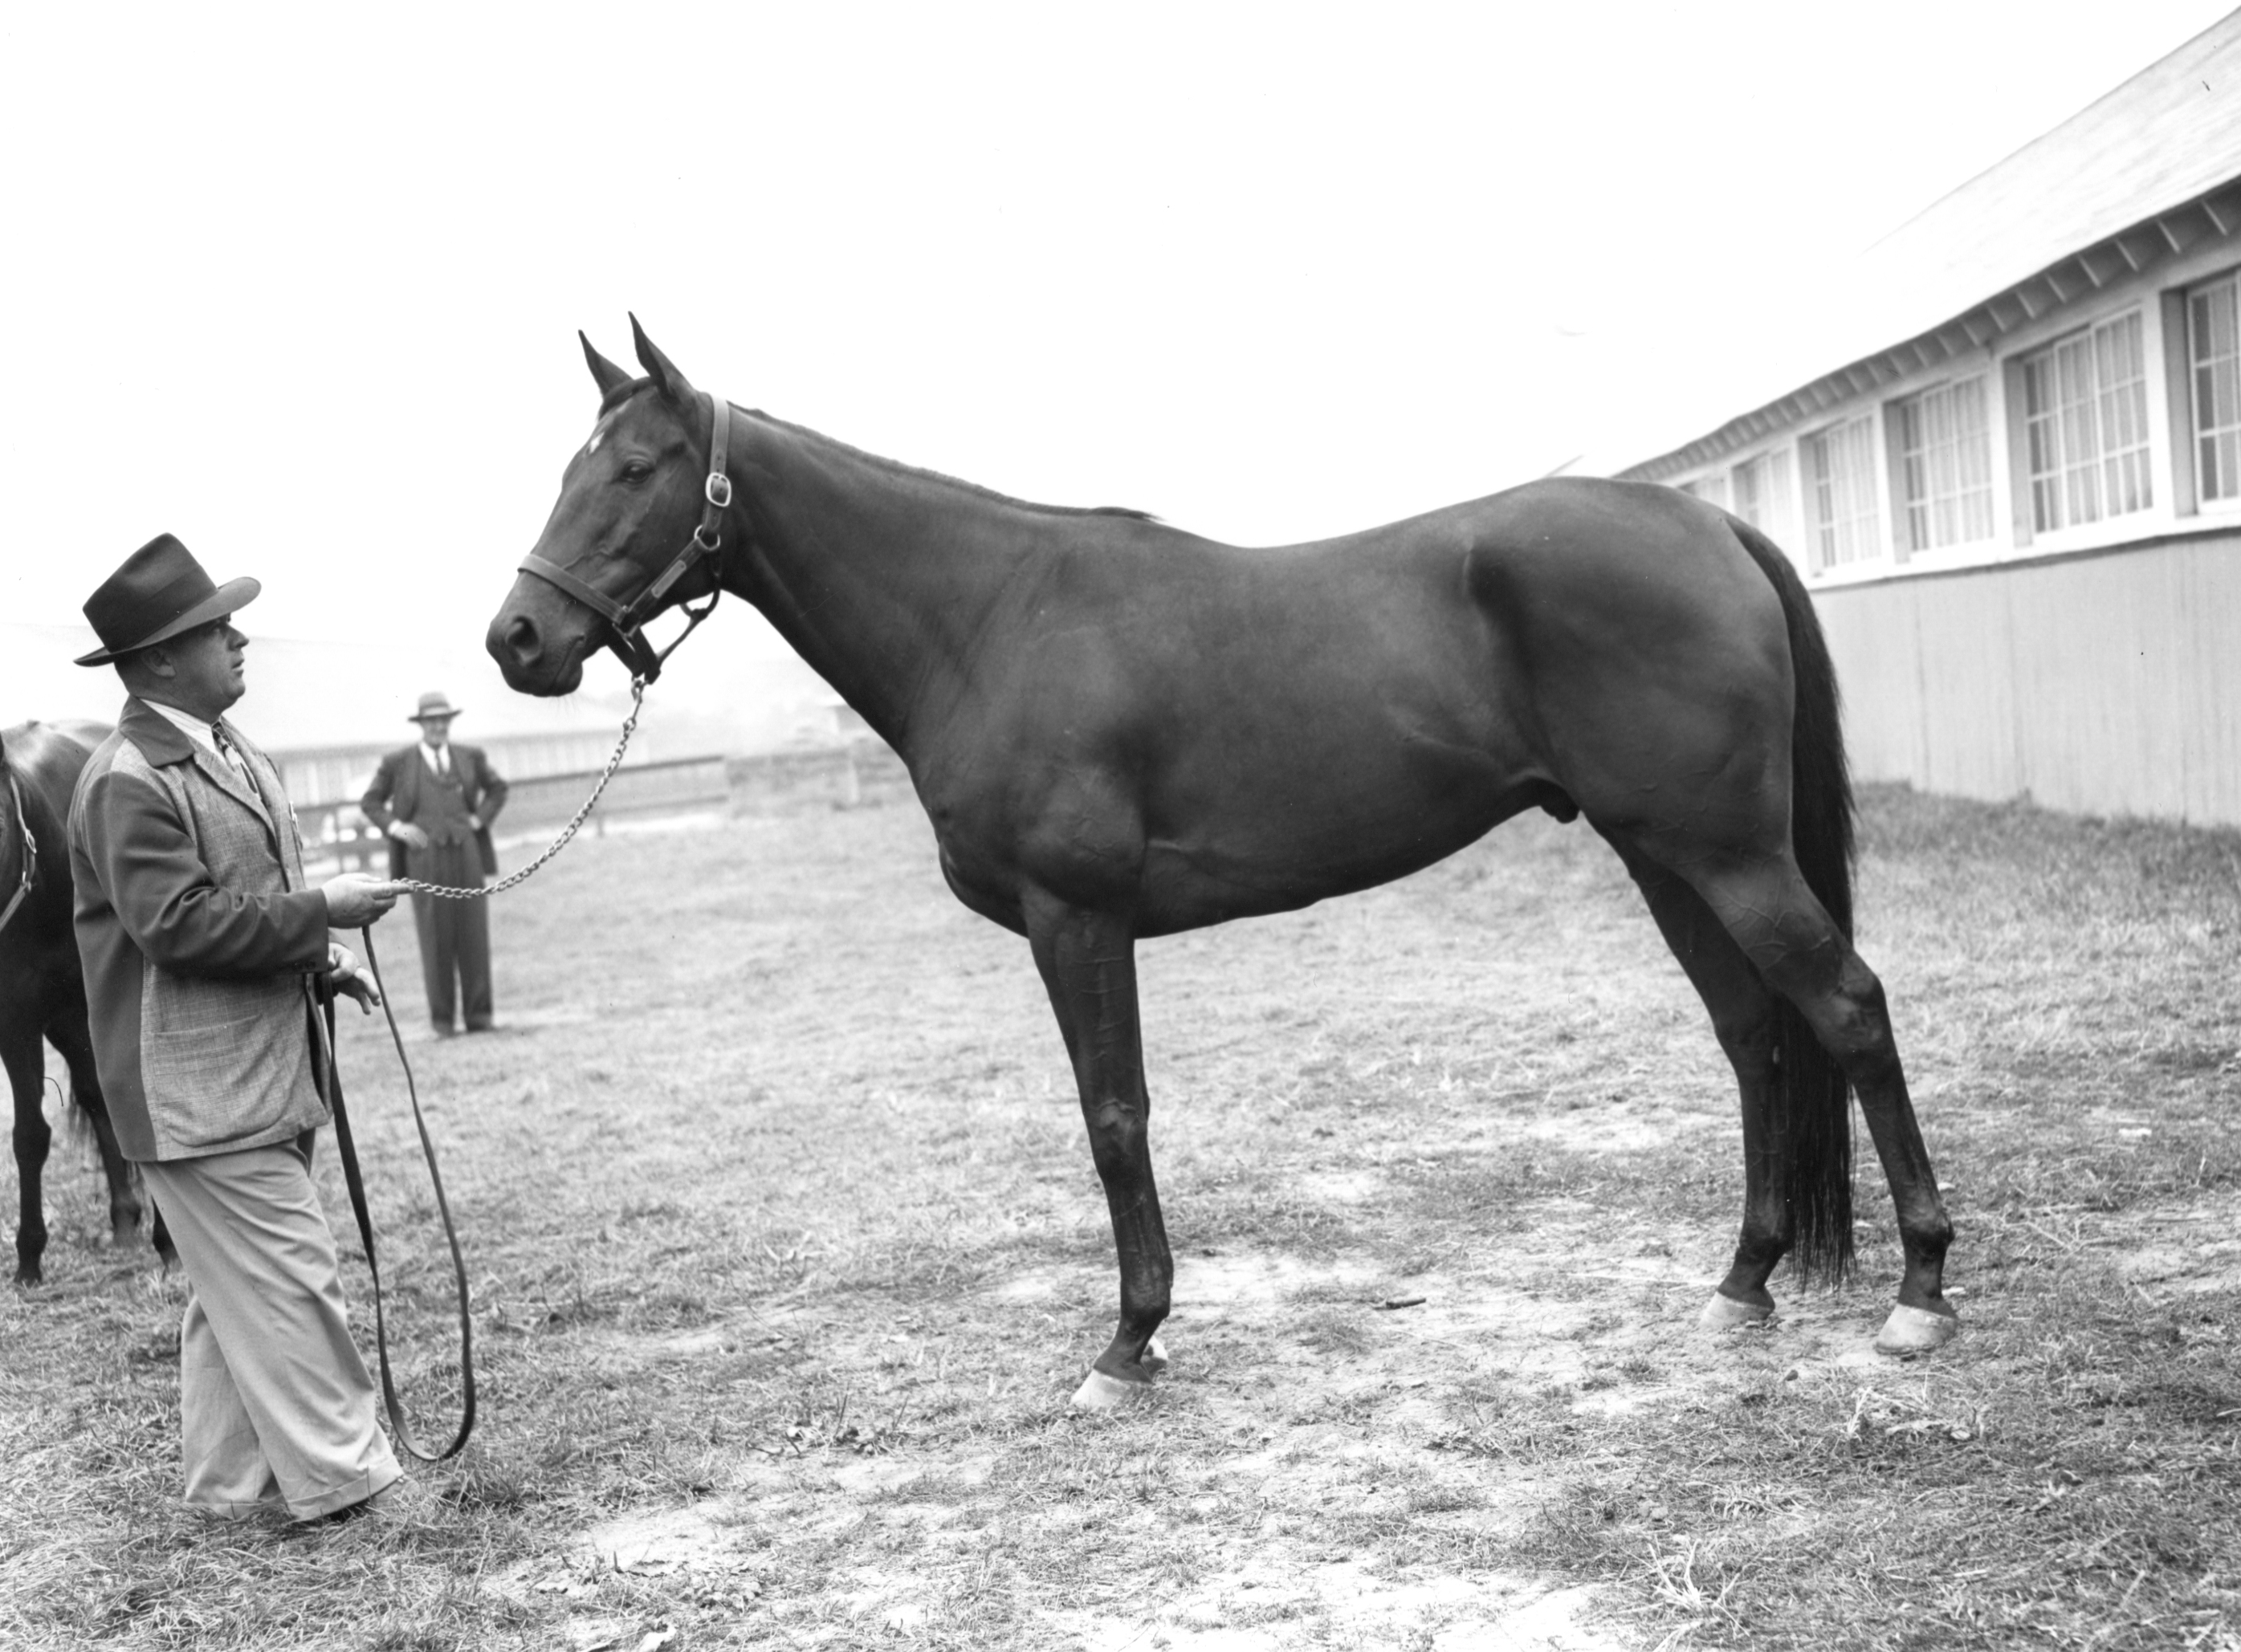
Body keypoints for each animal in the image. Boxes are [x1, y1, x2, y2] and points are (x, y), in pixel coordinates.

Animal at [2, 726, 172, 1291]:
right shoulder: (15, 1022)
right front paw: (29, 1258)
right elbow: (30, 1135)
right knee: (99, 1098)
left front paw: (170, 1245)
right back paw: (122, 1217)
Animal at [486, 323, 1945, 1407]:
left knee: (1843, 1007)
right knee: (1753, 1032)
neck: (992, 618)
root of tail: (1709, 529)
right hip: (1663, 854)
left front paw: (1128, 1341)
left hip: (1724, 851)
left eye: (635, 466)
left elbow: (1113, 1117)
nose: (518, 639)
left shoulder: (1076, 917)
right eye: (572, 464)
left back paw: (1920, 1291)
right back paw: (1743, 1279)